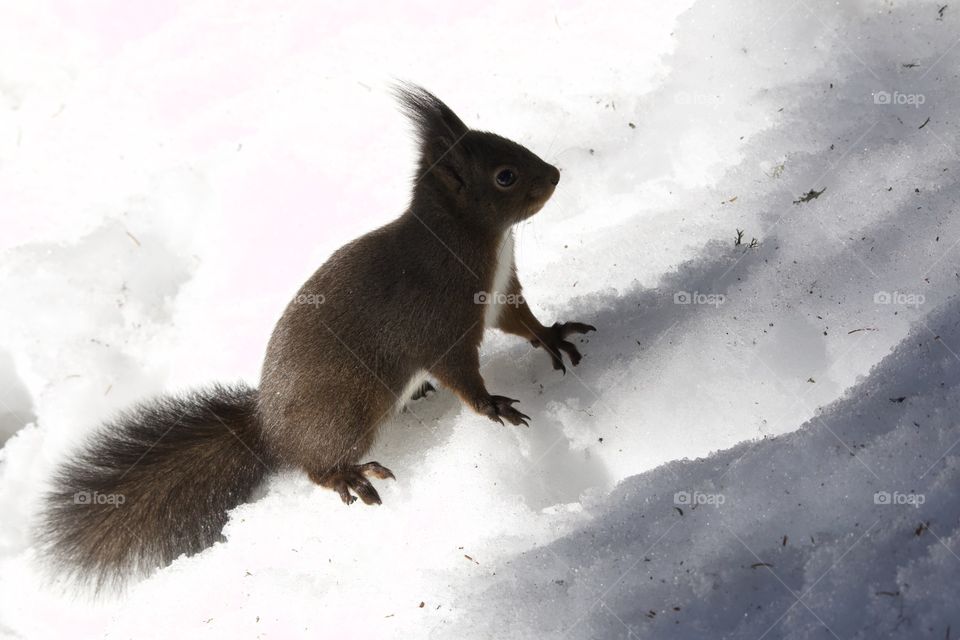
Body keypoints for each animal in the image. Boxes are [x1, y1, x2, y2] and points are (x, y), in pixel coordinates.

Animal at [41, 85, 596, 592]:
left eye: (510, 143)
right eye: (505, 176)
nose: (555, 174)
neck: (470, 237)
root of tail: (267, 428)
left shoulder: (499, 292)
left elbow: (521, 322)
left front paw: (553, 337)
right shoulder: (440, 322)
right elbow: (460, 373)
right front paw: (493, 406)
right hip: (345, 413)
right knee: (315, 466)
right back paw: (349, 475)